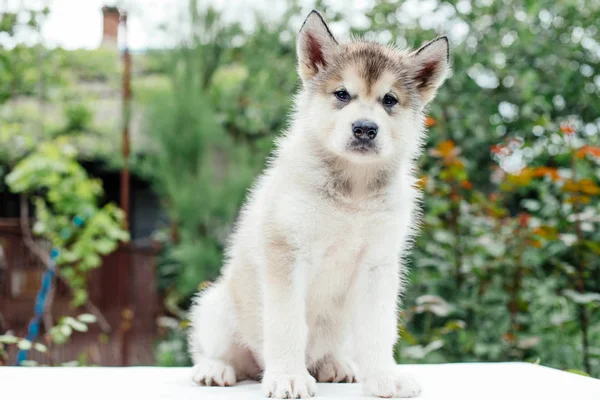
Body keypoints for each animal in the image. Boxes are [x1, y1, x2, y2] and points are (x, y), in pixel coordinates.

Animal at [188, 9, 450, 400]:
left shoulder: (378, 266)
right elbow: (287, 325)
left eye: (389, 100)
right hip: (215, 305)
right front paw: (287, 377)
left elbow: (378, 330)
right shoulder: (287, 254)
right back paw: (216, 368)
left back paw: (336, 365)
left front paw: (384, 377)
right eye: (342, 94)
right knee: (219, 352)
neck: (353, 192)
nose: (364, 129)